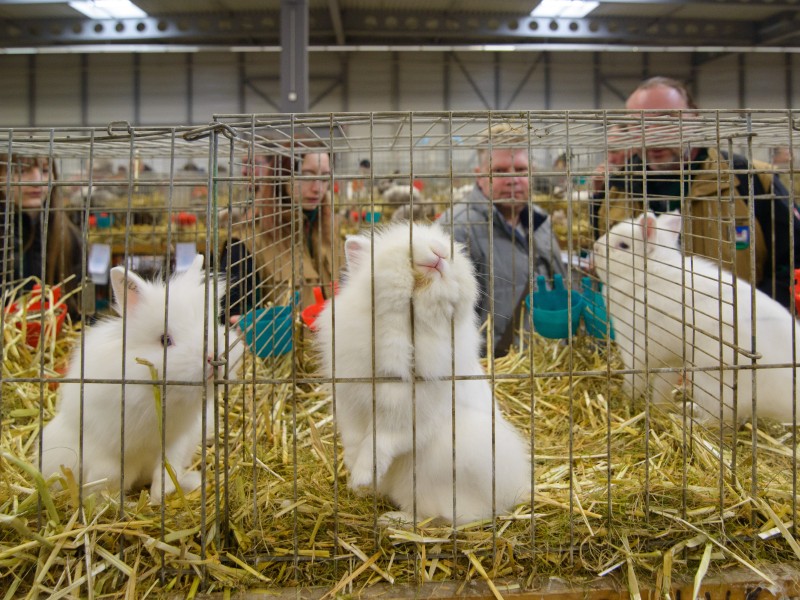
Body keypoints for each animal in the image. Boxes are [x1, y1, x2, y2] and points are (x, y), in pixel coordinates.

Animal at [40, 254, 241, 502]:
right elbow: (106, 479)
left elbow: (167, 470)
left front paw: (160, 495)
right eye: (165, 340)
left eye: (212, 326)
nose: (214, 357)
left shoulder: (177, 441)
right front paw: (127, 503)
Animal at [312, 221, 532, 524]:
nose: (439, 252)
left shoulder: (406, 412)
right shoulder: (351, 402)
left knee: (441, 517)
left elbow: (380, 442)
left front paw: (362, 475)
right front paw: (357, 480)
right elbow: (356, 441)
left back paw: (393, 520)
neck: (407, 322)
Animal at [592, 213, 800, 424]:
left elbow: (635, 379)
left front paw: (626, 397)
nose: (595, 248)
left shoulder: (636, 350)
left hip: (709, 380)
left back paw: (685, 418)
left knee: (716, 420)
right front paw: (661, 407)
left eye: (623, 245)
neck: (643, 273)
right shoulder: (672, 361)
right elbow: (661, 386)